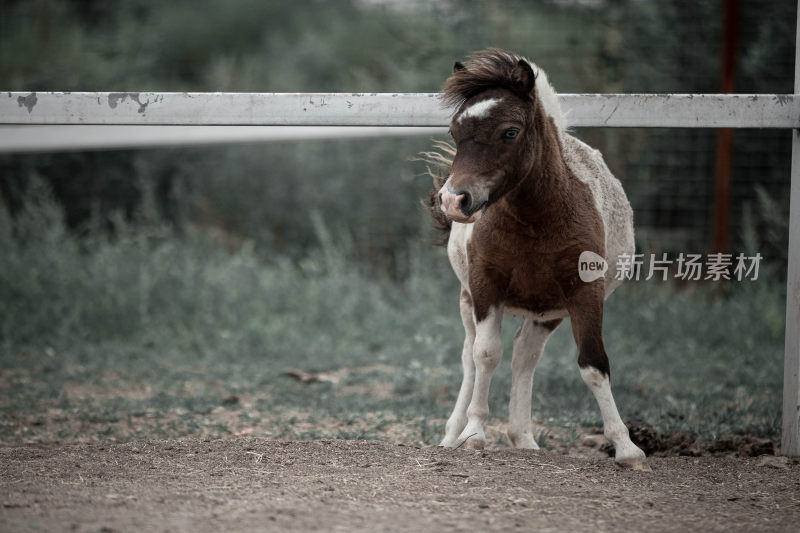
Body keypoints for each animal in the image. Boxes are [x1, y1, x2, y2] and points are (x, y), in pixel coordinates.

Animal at [422, 47, 648, 468]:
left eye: (510, 132)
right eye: (454, 132)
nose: (454, 200)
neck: (536, 222)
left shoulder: (584, 292)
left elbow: (594, 363)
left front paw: (627, 447)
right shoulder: (485, 286)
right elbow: (485, 355)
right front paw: (474, 435)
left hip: (547, 313)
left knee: (525, 356)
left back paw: (523, 438)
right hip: (469, 302)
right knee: (470, 358)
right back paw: (453, 435)